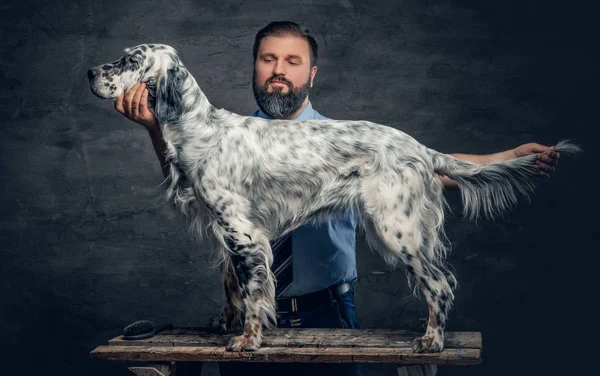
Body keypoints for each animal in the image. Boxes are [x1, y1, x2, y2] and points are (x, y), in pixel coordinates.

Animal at [89, 43, 580, 352]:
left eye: (129, 59)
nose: (91, 72)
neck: (195, 127)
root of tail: (421, 148)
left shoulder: (243, 232)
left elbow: (253, 293)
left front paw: (247, 339)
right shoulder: (227, 231)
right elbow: (231, 286)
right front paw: (224, 322)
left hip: (396, 228)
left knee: (439, 284)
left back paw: (432, 341)